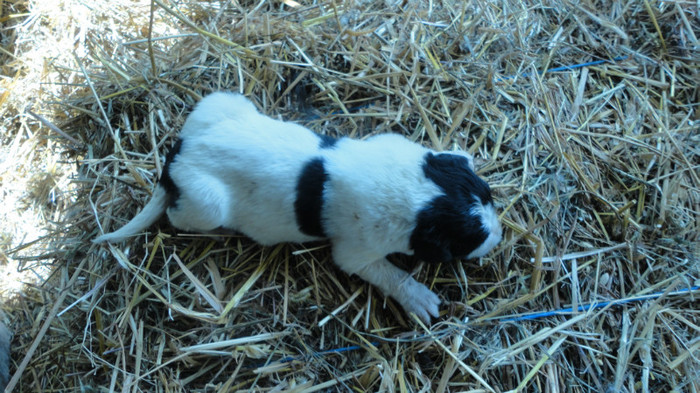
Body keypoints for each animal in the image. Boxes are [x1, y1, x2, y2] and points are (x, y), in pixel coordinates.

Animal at [94, 92, 504, 322]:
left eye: (487, 193)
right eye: (465, 242)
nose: (499, 236)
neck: (412, 190)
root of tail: (177, 155)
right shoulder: (356, 252)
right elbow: (389, 273)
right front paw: (418, 297)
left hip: (221, 103)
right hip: (206, 205)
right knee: (177, 215)